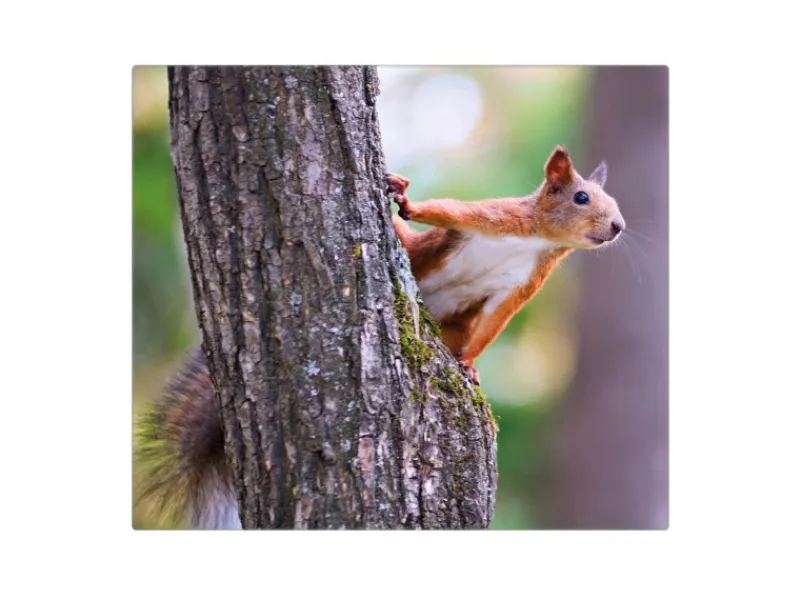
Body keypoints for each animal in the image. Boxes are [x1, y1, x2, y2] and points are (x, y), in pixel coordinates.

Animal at [133, 144, 624, 529]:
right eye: (582, 197)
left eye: (613, 200)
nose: (618, 226)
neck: (536, 241)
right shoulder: (493, 217)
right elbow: (448, 210)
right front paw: (406, 200)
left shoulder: (520, 287)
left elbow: (492, 324)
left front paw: (468, 364)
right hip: (418, 254)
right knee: (410, 240)